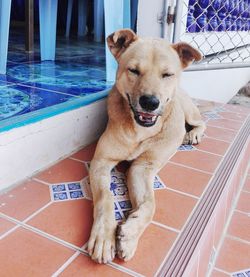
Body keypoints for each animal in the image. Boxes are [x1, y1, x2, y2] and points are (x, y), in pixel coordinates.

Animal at [87, 28, 205, 264]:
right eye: (133, 70)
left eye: (167, 74)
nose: (150, 102)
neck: (139, 130)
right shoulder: (101, 162)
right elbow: (106, 197)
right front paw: (104, 235)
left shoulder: (143, 167)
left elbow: (150, 204)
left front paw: (131, 233)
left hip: (188, 110)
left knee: (201, 122)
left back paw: (193, 134)